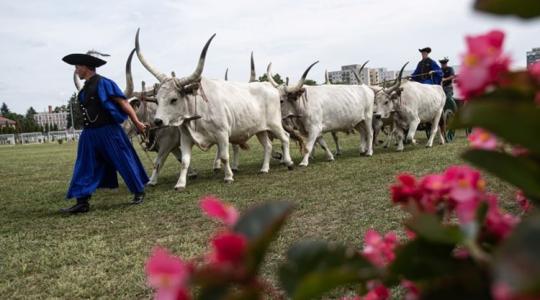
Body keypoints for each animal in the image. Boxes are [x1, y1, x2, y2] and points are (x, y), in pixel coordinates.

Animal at [137, 29, 294, 190]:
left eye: (173, 99)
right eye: (156, 99)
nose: (157, 121)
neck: (199, 111)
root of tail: (269, 87)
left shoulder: (222, 134)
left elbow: (224, 157)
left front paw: (229, 176)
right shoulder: (186, 138)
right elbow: (185, 161)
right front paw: (180, 183)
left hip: (274, 124)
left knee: (285, 137)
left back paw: (288, 162)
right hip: (260, 129)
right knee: (268, 146)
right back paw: (264, 169)